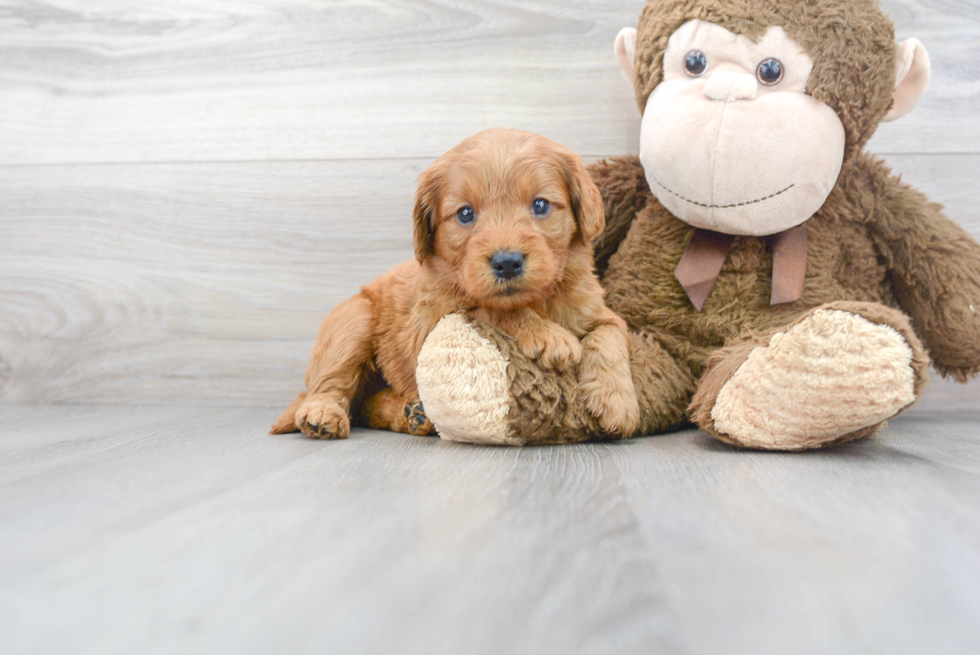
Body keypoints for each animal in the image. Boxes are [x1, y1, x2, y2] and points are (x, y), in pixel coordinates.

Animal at [274, 128, 644, 440]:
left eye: (540, 205)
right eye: (465, 214)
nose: (507, 262)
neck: (538, 300)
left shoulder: (599, 311)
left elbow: (608, 338)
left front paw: (618, 404)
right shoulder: (428, 325)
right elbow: (490, 308)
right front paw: (548, 336)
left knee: (367, 404)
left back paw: (414, 414)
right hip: (353, 321)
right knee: (331, 385)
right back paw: (322, 415)